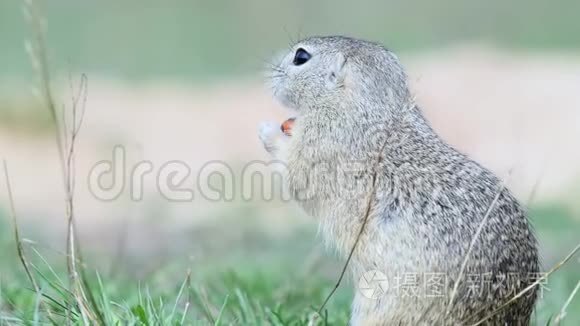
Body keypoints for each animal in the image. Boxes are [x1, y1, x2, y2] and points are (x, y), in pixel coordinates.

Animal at [258, 36, 540, 326]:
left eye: (301, 57)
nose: (270, 73)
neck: (368, 106)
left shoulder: (321, 144)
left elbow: (296, 175)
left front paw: (268, 131)